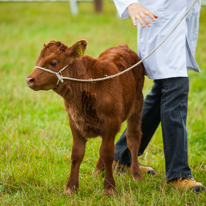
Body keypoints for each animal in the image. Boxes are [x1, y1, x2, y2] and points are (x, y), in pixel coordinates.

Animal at [26, 39, 145, 196]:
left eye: (53, 62)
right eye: (38, 59)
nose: (29, 79)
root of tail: (123, 47)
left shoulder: (111, 123)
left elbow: (107, 153)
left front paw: (109, 188)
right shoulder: (75, 121)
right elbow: (77, 153)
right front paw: (71, 188)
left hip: (137, 105)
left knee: (132, 138)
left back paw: (136, 175)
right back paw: (97, 171)